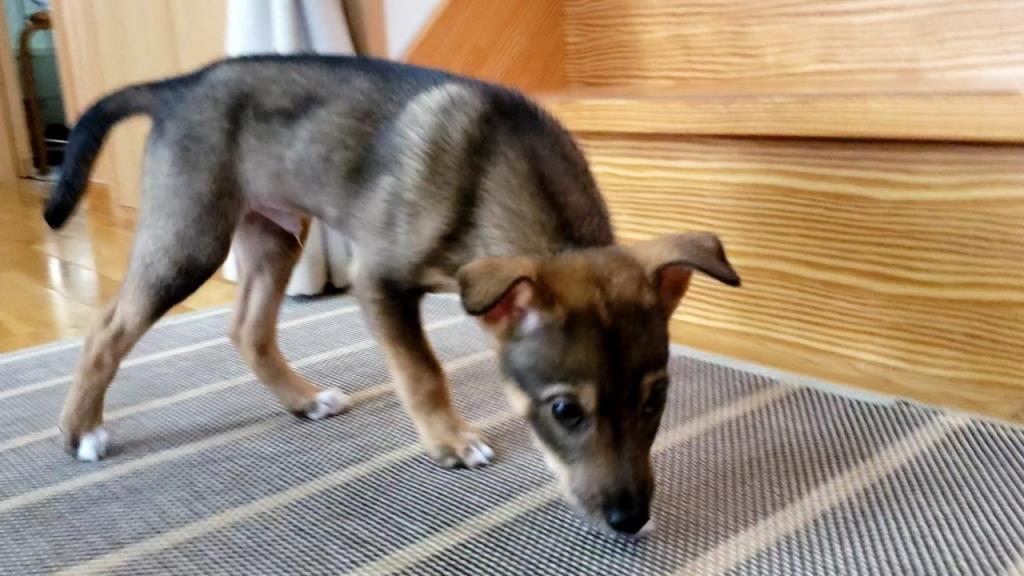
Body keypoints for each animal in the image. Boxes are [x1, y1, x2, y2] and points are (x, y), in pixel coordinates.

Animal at [45, 55, 740, 536]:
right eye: (566, 411)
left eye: (658, 399)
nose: (631, 519)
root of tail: (180, 85)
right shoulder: (377, 278)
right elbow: (423, 372)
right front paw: (451, 443)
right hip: (190, 238)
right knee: (108, 328)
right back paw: (80, 431)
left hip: (274, 236)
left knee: (248, 329)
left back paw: (303, 401)